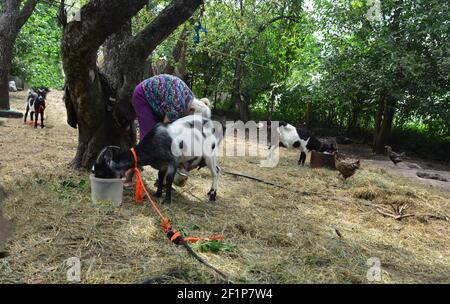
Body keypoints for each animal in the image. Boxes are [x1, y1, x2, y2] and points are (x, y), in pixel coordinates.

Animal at [93, 115, 223, 203]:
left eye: (102, 172)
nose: (101, 191)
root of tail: (212, 126)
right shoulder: (162, 165)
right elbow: (160, 177)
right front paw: (158, 193)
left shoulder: (173, 161)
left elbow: (169, 179)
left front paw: (167, 200)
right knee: (217, 169)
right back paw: (210, 192)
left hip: (210, 155)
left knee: (215, 172)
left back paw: (213, 195)